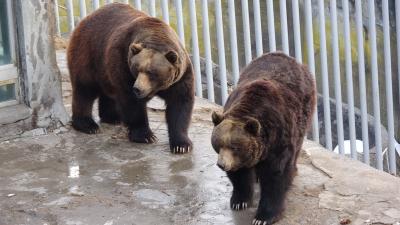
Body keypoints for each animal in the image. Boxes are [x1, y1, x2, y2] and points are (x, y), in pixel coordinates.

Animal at [68, 3, 195, 153]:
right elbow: (131, 102)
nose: (138, 88)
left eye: (152, 72)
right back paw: (88, 124)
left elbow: (180, 104)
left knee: (108, 92)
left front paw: (181, 145)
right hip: (88, 54)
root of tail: (85, 19)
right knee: (84, 90)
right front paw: (145, 135)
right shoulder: (123, 62)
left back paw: (113, 117)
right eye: (137, 68)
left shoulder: (180, 77)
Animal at [211, 52, 318, 223]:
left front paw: (263, 216)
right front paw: (239, 201)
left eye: (234, 146)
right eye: (218, 144)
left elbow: (275, 174)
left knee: (296, 150)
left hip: (304, 112)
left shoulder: (278, 138)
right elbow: (239, 175)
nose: (222, 164)